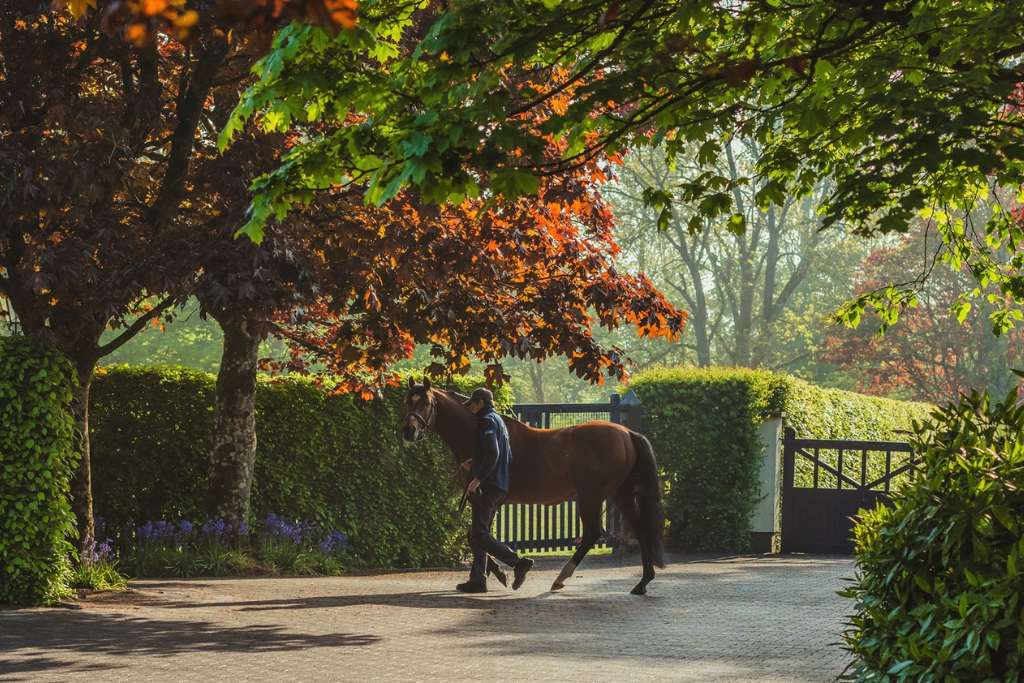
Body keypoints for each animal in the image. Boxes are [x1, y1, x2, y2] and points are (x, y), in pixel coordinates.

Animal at [401, 377, 666, 595]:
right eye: (407, 402)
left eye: (426, 402)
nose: (409, 431)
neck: (476, 434)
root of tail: (627, 433)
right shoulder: (483, 501)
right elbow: (479, 536)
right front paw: (486, 577)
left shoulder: (484, 499)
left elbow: (477, 536)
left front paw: (493, 575)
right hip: (621, 494)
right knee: (640, 529)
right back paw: (642, 582)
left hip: (591, 495)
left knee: (593, 533)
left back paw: (561, 577)